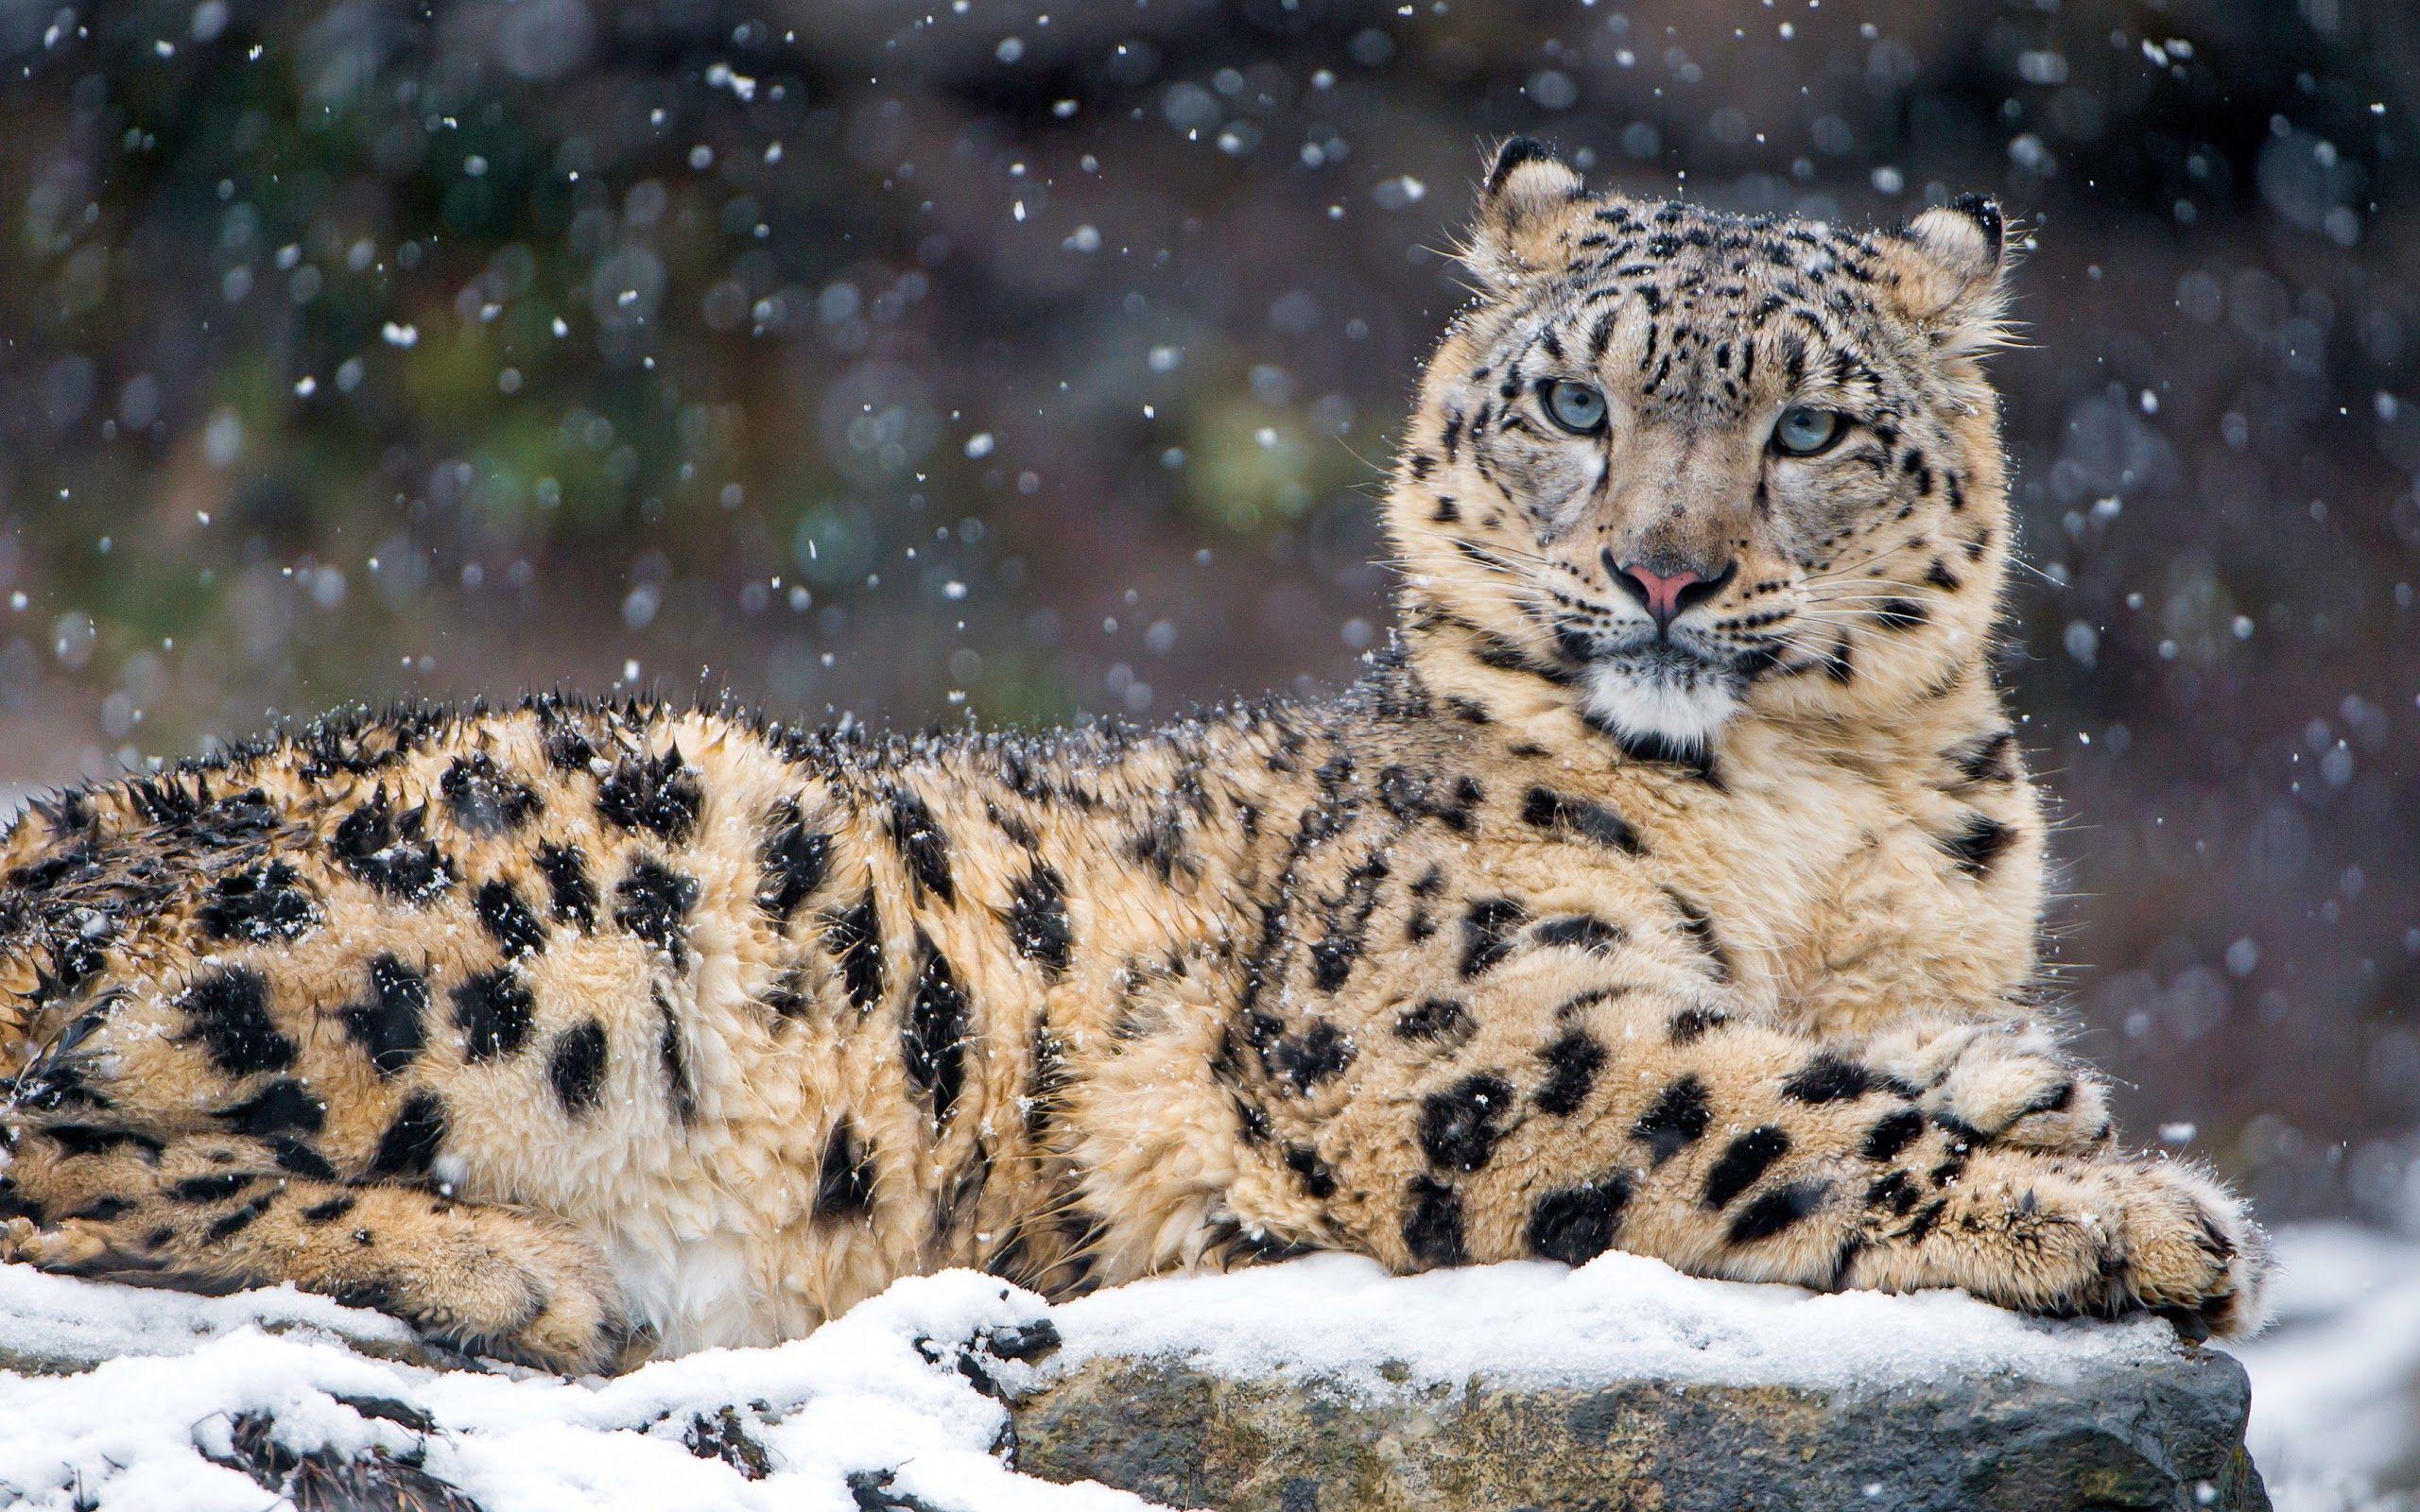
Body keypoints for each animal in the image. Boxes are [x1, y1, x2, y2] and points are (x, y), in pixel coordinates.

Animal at [0, 140, 2268, 1374]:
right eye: (1572, 401)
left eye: (1809, 427)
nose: (1662, 567)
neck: (1813, 816)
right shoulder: (1444, 1020)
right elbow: (1755, 1101)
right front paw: (2135, 1217)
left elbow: (1874, 1036)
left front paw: (2025, 1081)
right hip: (572, 881)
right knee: (57, 1136)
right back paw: (515, 1263)